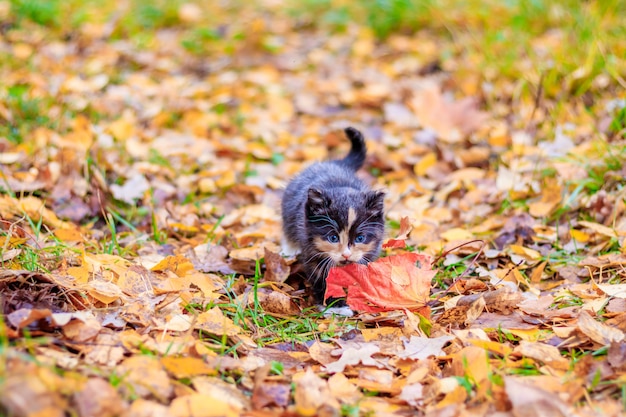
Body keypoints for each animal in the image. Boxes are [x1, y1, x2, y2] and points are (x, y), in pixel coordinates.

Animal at [280, 127, 382, 302]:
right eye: (333, 238)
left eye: (360, 238)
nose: (346, 255)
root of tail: (334, 164)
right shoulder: (310, 249)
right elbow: (323, 277)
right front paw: (333, 304)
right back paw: (289, 249)